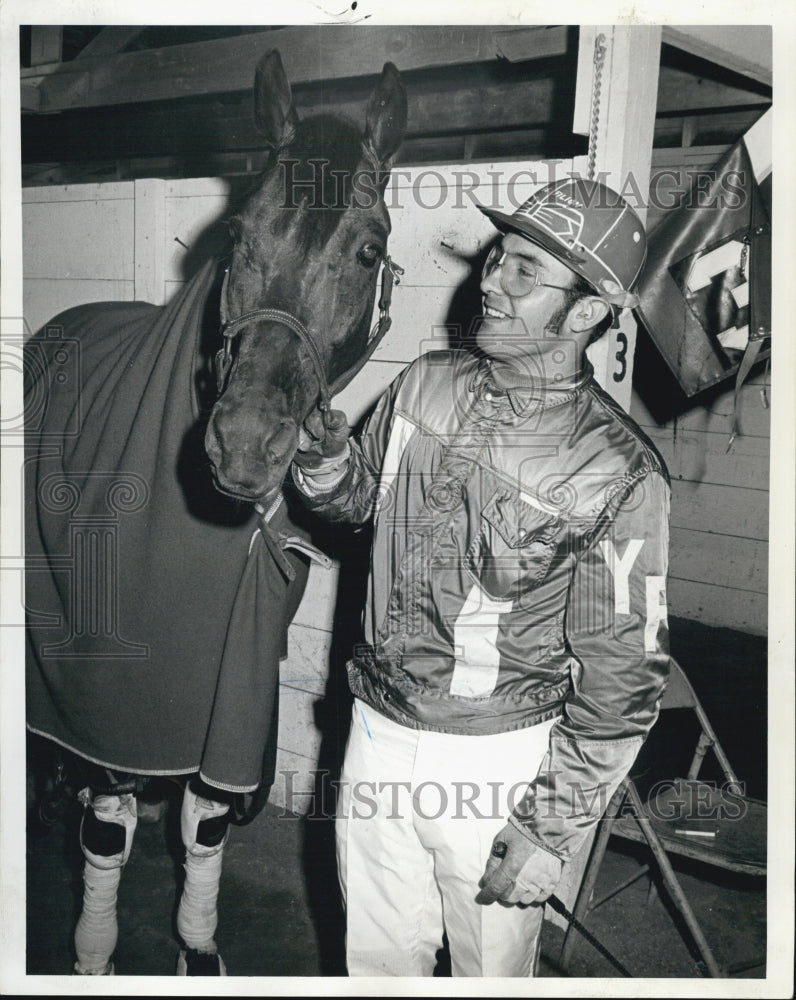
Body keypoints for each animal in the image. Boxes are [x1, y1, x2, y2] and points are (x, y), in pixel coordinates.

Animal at [24, 50, 408, 972]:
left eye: (368, 248)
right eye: (237, 237)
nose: (245, 443)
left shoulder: (238, 674)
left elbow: (204, 819)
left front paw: (197, 945)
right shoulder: (112, 693)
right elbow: (107, 828)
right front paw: (94, 952)